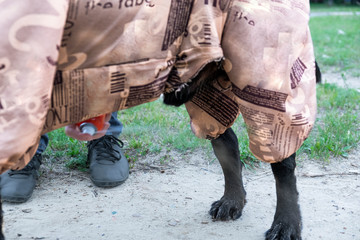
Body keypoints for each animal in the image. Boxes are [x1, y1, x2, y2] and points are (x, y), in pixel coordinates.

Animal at [0, 0, 318, 239]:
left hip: (265, 82)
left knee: (282, 163)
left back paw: (286, 225)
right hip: (205, 91)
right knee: (226, 141)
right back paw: (232, 200)